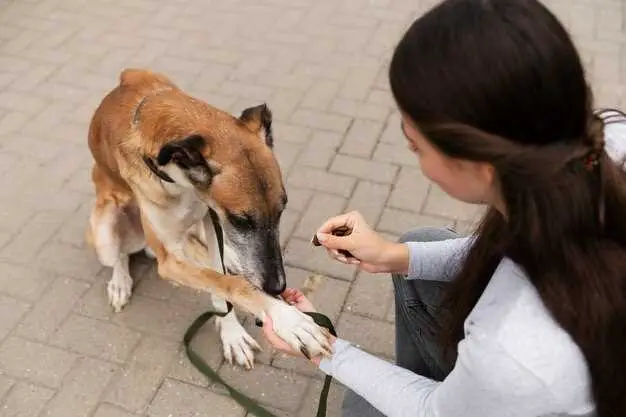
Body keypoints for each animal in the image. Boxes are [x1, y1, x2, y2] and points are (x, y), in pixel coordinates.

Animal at [86, 68, 334, 368]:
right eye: (241, 220)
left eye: (282, 211)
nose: (278, 287)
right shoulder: (170, 261)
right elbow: (229, 283)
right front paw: (287, 319)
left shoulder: (211, 219)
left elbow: (221, 281)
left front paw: (232, 333)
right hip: (104, 230)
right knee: (120, 257)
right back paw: (120, 283)